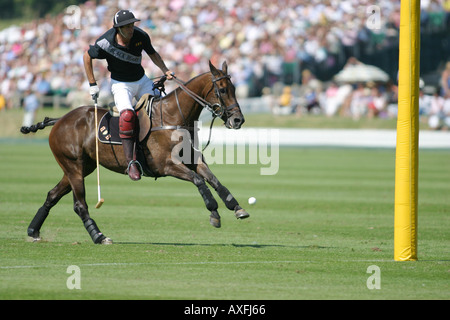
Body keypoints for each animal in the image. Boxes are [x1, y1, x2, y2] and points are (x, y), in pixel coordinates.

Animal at [21, 61, 250, 244]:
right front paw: (214, 212)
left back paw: (33, 231)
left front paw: (237, 207)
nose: (238, 120)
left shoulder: (193, 159)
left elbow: (214, 180)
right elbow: (199, 180)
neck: (173, 116)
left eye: (234, 88)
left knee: (52, 195)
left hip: (82, 167)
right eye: (222, 90)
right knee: (80, 204)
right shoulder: (166, 166)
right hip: (74, 166)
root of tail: (60, 120)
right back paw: (99, 236)